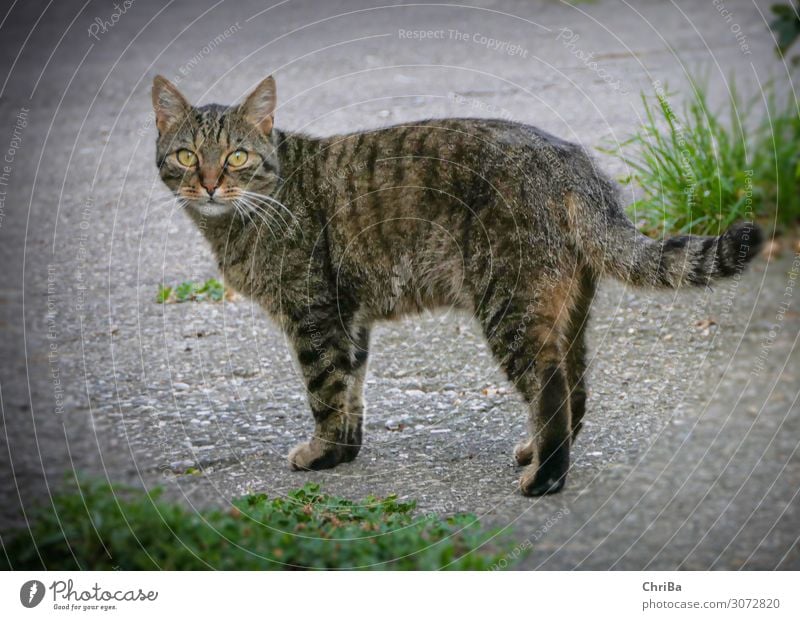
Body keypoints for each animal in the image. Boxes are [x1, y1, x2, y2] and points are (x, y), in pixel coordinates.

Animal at [152, 75, 764, 496]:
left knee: (550, 387)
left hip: (508, 305)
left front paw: (322, 454)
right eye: (187, 155)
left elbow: (324, 391)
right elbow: (351, 391)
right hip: (566, 310)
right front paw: (345, 451)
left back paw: (546, 479)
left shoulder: (315, 316)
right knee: (575, 388)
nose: (210, 184)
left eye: (236, 156)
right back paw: (537, 453)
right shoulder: (350, 320)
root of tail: (574, 162)